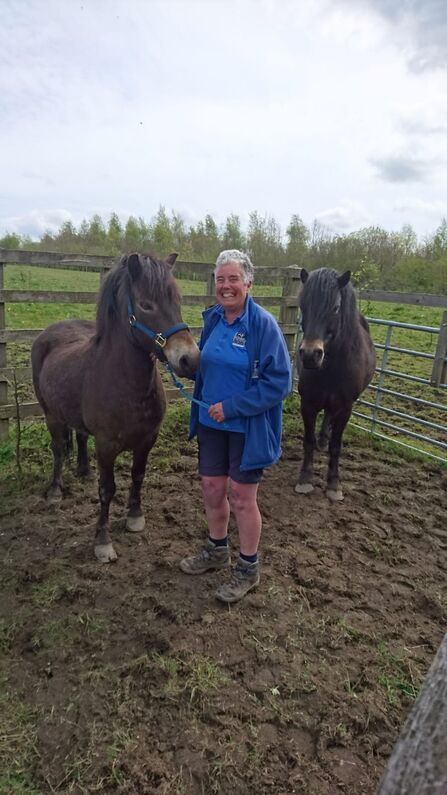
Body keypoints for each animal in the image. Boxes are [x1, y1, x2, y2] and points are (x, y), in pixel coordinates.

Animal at [32, 252, 200, 562]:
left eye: (177, 300)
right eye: (146, 304)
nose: (190, 360)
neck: (126, 384)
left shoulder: (147, 440)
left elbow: (138, 476)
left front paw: (135, 517)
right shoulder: (107, 446)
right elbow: (107, 489)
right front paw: (103, 541)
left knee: (80, 437)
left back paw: (84, 471)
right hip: (51, 415)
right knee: (59, 449)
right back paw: (56, 490)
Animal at [295, 267, 376, 502]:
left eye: (336, 308)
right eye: (303, 305)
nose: (310, 355)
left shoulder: (345, 407)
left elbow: (336, 446)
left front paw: (333, 484)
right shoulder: (308, 403)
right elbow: (308, 440)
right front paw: (305, 478)